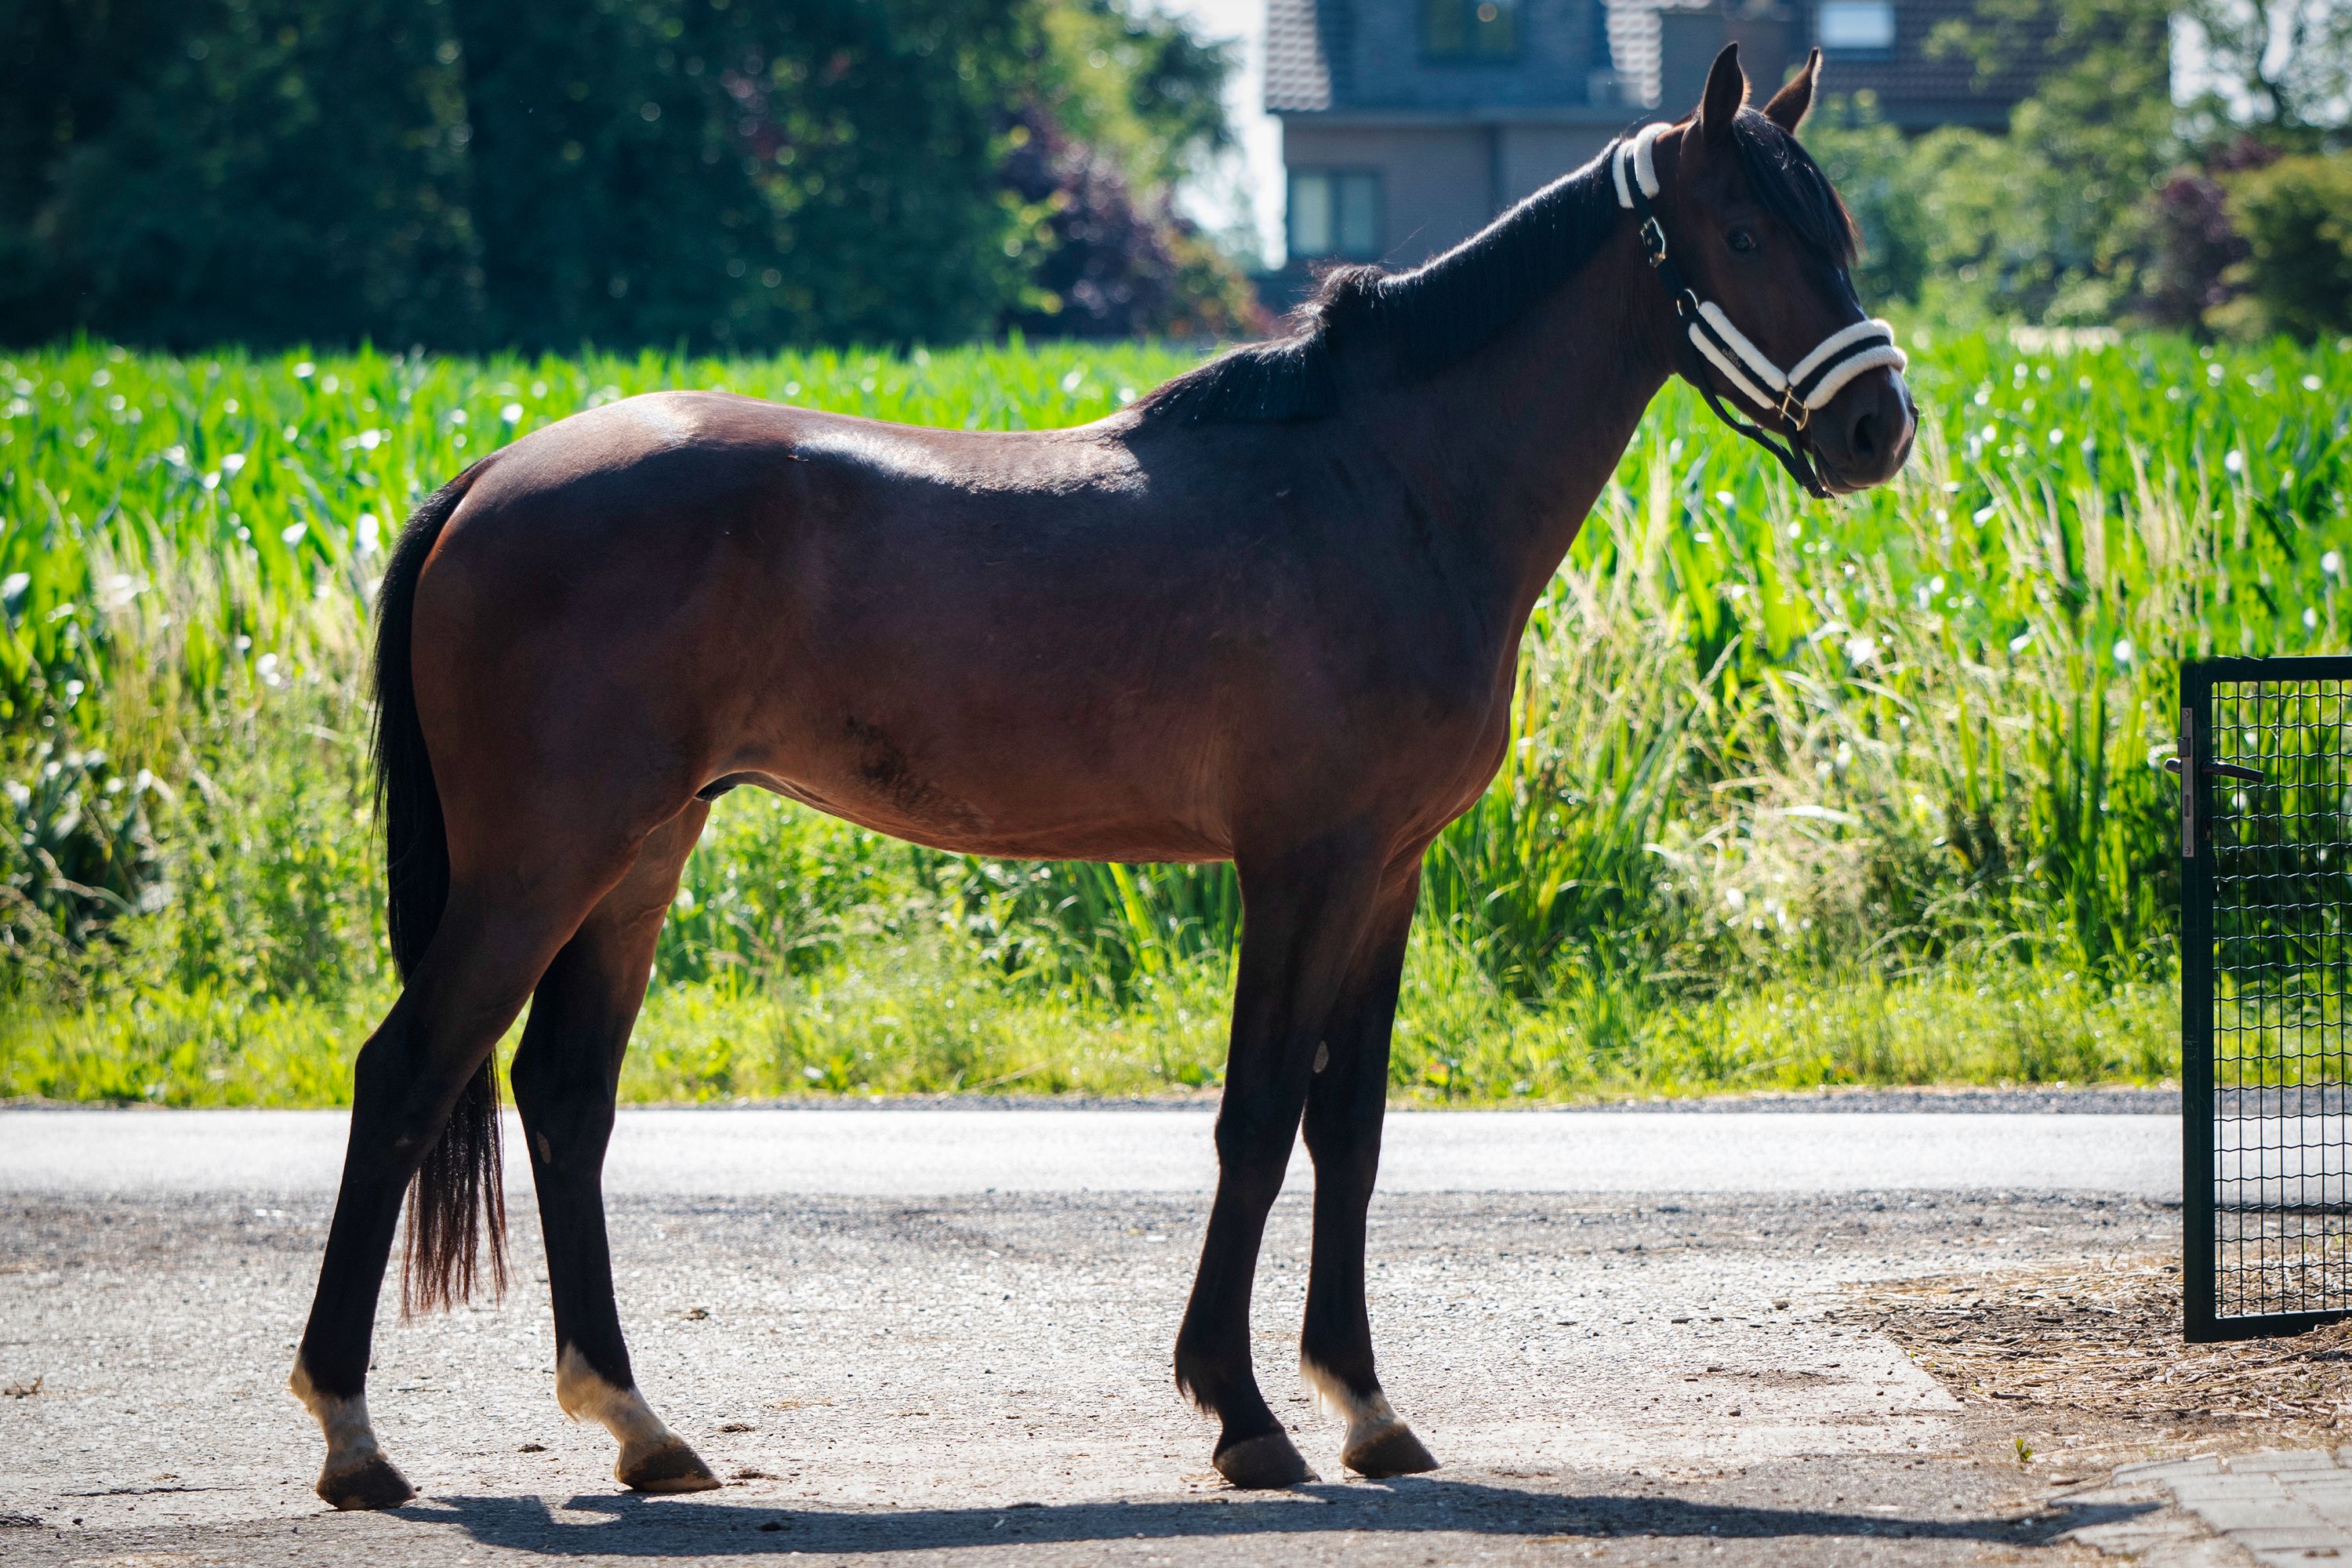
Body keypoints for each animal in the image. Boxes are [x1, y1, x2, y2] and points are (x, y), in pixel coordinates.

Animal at [291, 42, 1915, 1509]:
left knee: (566, 1099)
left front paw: (1364, 1404)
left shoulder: (1388, 875)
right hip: (540, 864)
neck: (1382, 486)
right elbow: (1257, 1120)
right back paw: (356, 1436)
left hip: (637, 857)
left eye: (1836, 229)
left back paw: (639, 1426)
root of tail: (485, 482)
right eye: (1749, 232)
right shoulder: (1302, 867)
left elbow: (1351, 1129)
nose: (1876, 427)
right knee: (405, 1074)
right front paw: (1243, 1412)